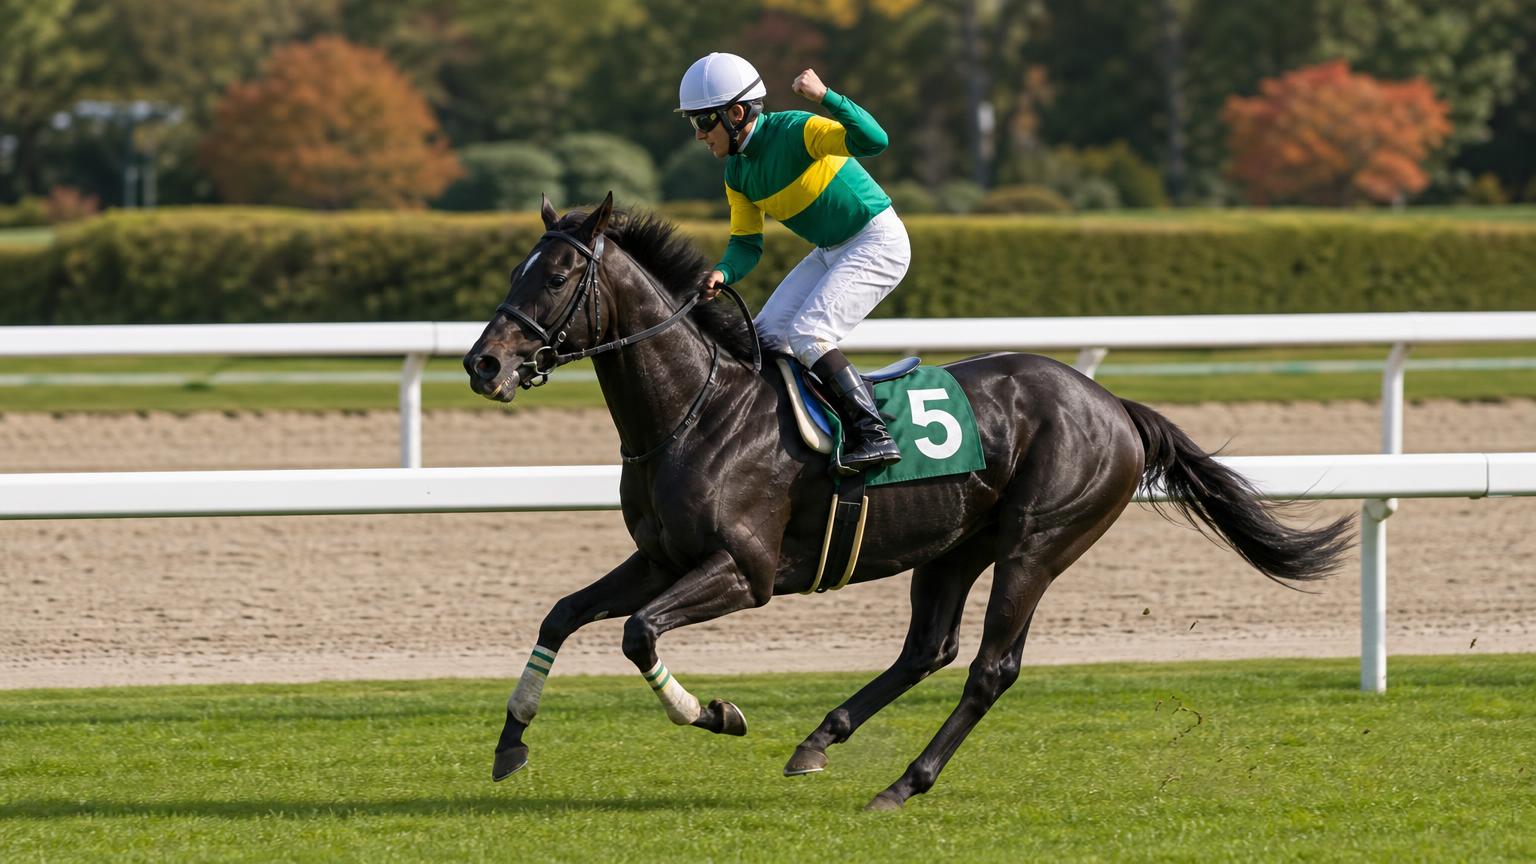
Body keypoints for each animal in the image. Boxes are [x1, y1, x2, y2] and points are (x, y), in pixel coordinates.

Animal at [463, 193, 1352, 811]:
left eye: (558, 276)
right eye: (514, 271)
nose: (483, 364)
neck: (698, 409)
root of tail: (1112, 404)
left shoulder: (744, 570)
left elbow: (639, 635)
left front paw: (715, 712)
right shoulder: (659, 557)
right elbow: (562, 614)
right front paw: (510, 744)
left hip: (1036, 544)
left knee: (991, 668)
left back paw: (903, 782)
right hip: (953, 548)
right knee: (930, 648)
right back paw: (820, 741)